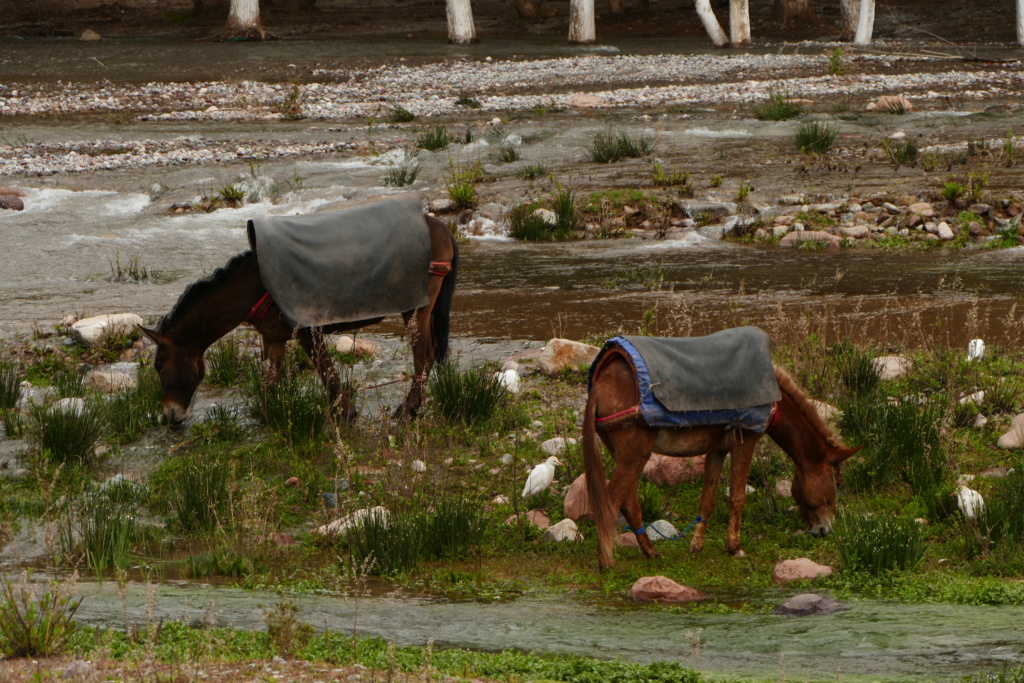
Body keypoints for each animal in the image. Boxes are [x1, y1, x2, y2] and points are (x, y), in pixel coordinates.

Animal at [140, 216, 456, 423]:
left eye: (159, 366)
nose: (168, 416)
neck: (257, 286)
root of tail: (440, 226)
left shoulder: (307, 331)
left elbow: (326, 372)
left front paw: (346, 414)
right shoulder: (273, 337)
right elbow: (271, 380)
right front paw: (268, 417)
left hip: (415, 310)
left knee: (423, 354)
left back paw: (409, 409)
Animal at [585, 358, 856, 573]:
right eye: (838, 482)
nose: (824, 530)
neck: (773, 398)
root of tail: (602, 384)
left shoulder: (717, 449)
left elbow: (708, 499)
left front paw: (696, 546)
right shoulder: (745, 441)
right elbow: (737, 496)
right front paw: (734, 548)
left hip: (624, 455)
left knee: (629, 504)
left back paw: (650, 552)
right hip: (635, 456)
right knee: (610, 502)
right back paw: (606, 562)